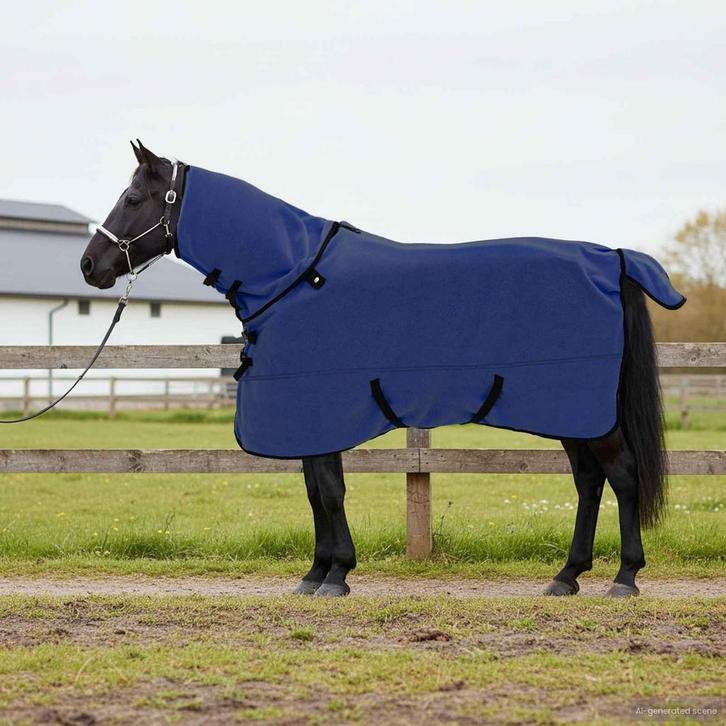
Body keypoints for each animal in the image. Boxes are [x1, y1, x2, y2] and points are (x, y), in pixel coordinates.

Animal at [80, 141, 683, 598]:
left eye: (133, 197)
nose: (90, 265)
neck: (293, 274)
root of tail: (611, 258)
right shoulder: (308, 420)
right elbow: (316, 492)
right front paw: (316, 574)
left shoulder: (320, 411)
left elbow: (329, 492)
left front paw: (336, 576)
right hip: (572, 415)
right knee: (589, 483)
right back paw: (567, 576)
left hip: (587, 414)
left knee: (622, 477)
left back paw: (625, 578)